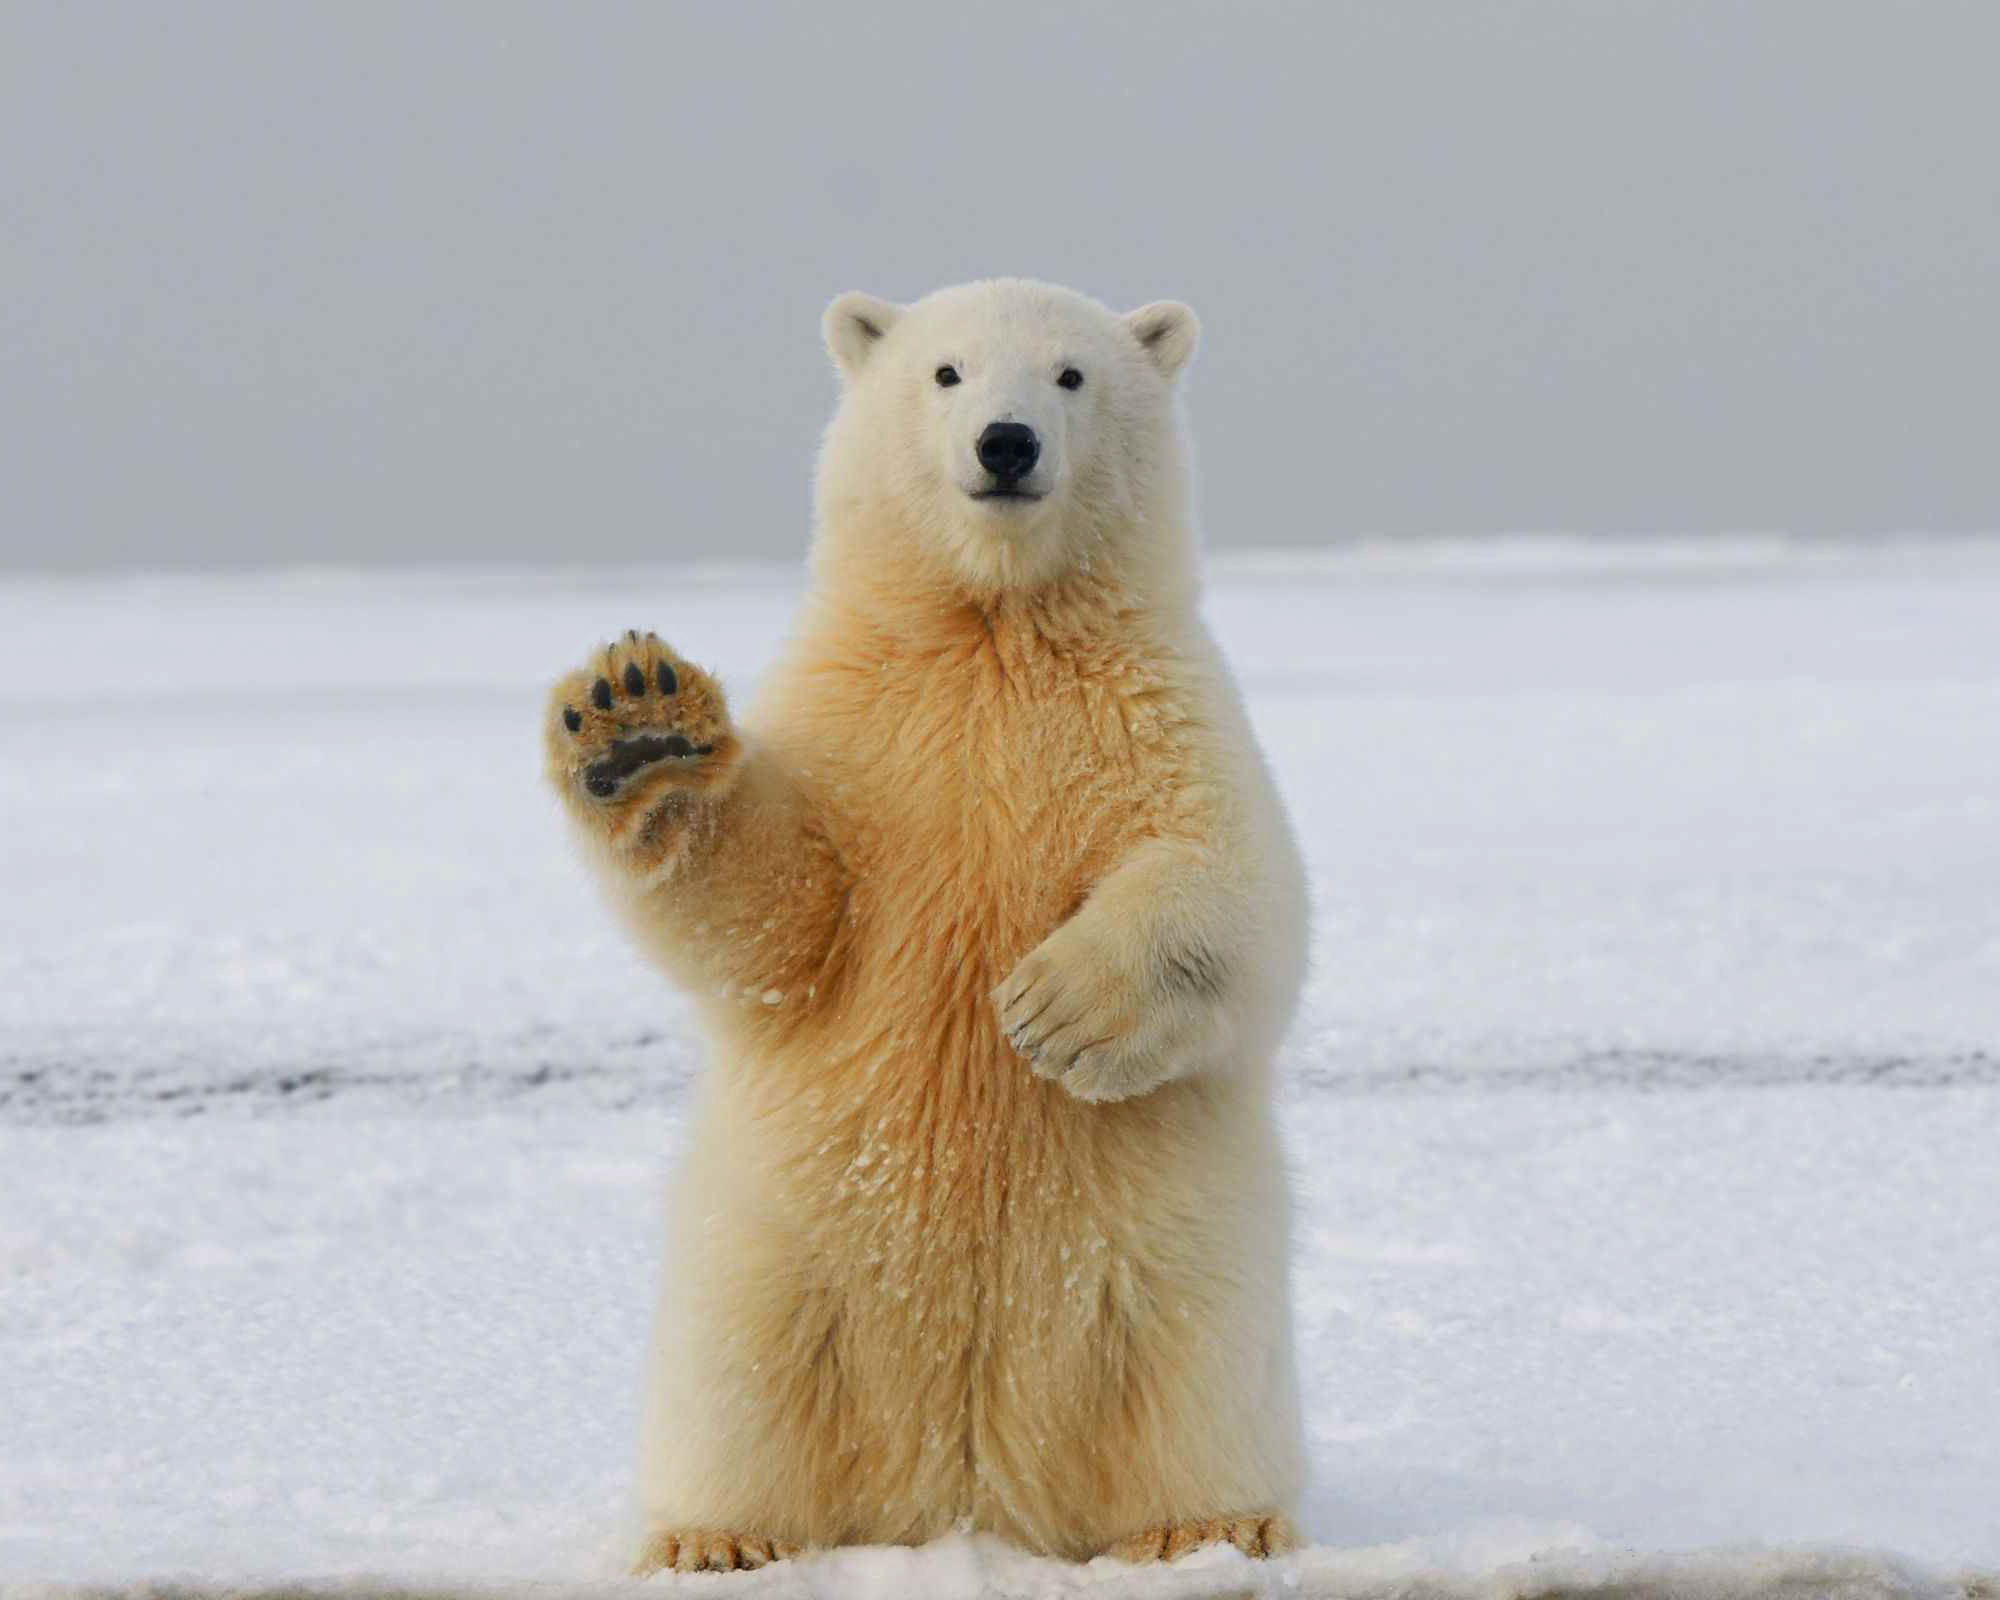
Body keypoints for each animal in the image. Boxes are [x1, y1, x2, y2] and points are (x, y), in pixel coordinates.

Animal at [542, 279, 1308, 1574]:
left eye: (1069, 375)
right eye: (945, 372)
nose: (1005, 444)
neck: (991, 628)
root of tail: (963, 1489)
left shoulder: (1158, 710)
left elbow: (1236, 889)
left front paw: (1052, 1009)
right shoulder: (862, 728)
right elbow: (781, 914)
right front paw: (637, 725)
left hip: (1175, 1262)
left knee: (1189, 1375)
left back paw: (1209, 1524)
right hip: (776, 1254)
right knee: (740, 1381)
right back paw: (714, 1537)